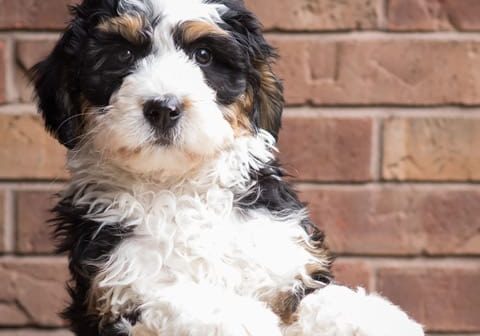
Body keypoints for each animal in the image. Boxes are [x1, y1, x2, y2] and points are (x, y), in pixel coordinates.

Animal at [31, 0, 426, 336]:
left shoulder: (286, 264)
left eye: (203, 55)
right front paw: (239, 318)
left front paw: (374, 318)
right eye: (123, 54)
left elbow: (318, 296)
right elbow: (179, 296)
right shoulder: (117, 291)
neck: (180, 186)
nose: (163, 108)